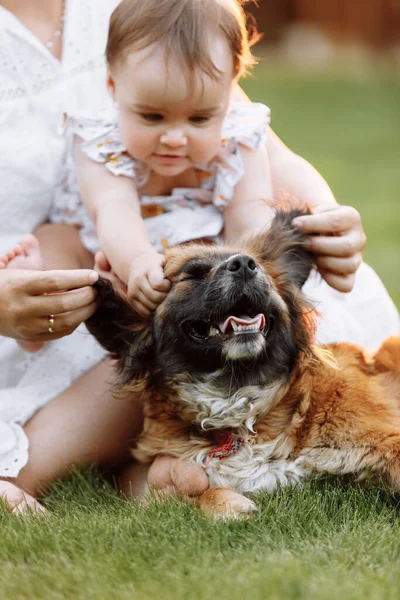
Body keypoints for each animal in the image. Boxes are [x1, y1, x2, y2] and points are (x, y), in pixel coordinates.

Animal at [86, 207, 400, 520]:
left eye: (258, 266)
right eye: (192, 275)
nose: (245, 265)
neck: (235, 397)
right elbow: (189, 497)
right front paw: (227, 505)